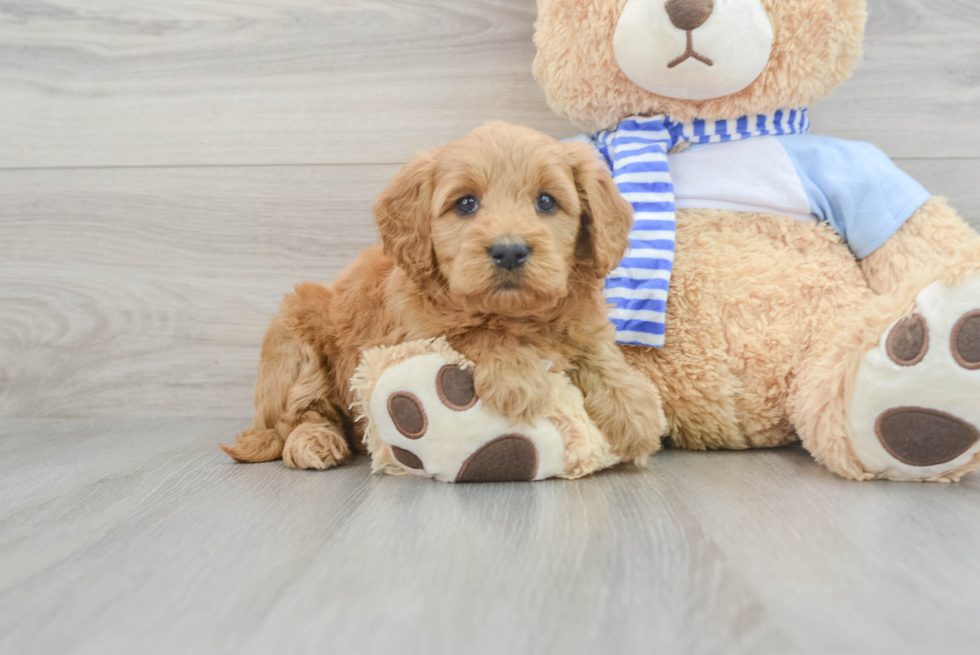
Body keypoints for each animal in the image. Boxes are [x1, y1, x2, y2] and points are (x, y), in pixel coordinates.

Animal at [222, 123, 668, 472]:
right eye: (466, 203)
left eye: (546, 201)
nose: (509, 250)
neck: (515, 314)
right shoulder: (413, 334)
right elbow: (475, 332)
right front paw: (518, 377)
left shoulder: (582, 318)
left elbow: (596, 349)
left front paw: (635, 408)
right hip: (296, 332)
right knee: (297, 415)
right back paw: (314, 441)